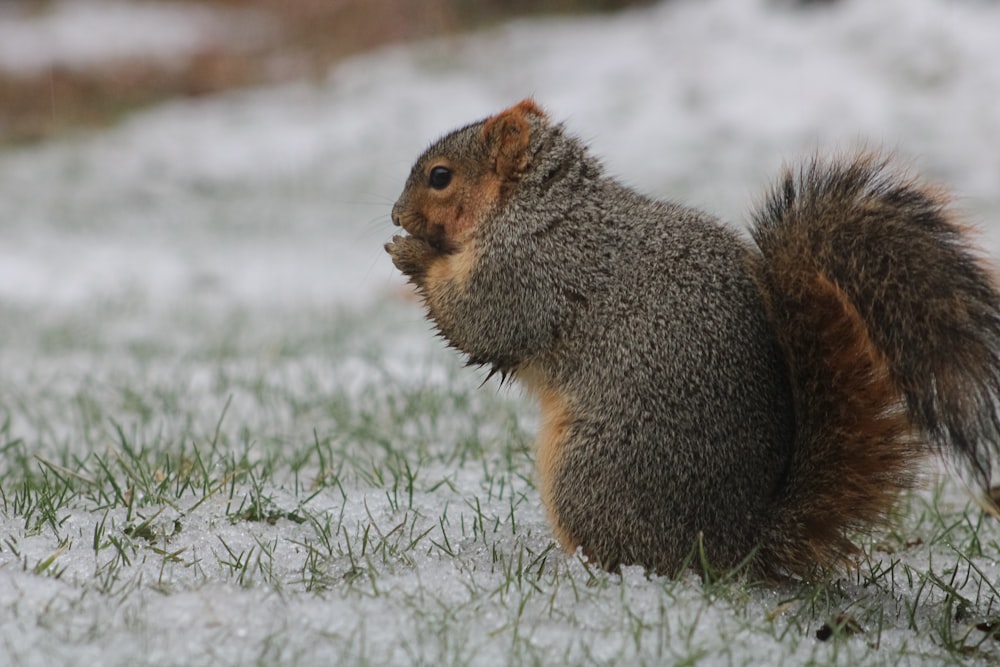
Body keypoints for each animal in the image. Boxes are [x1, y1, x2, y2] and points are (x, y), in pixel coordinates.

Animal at [382, 99, 1000, 580]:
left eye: (441, 176)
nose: (394, 213)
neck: (534, 204)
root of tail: (733, 543)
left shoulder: (529, 268)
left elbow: (481, 319)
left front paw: (412, 255)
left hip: (592, 470)